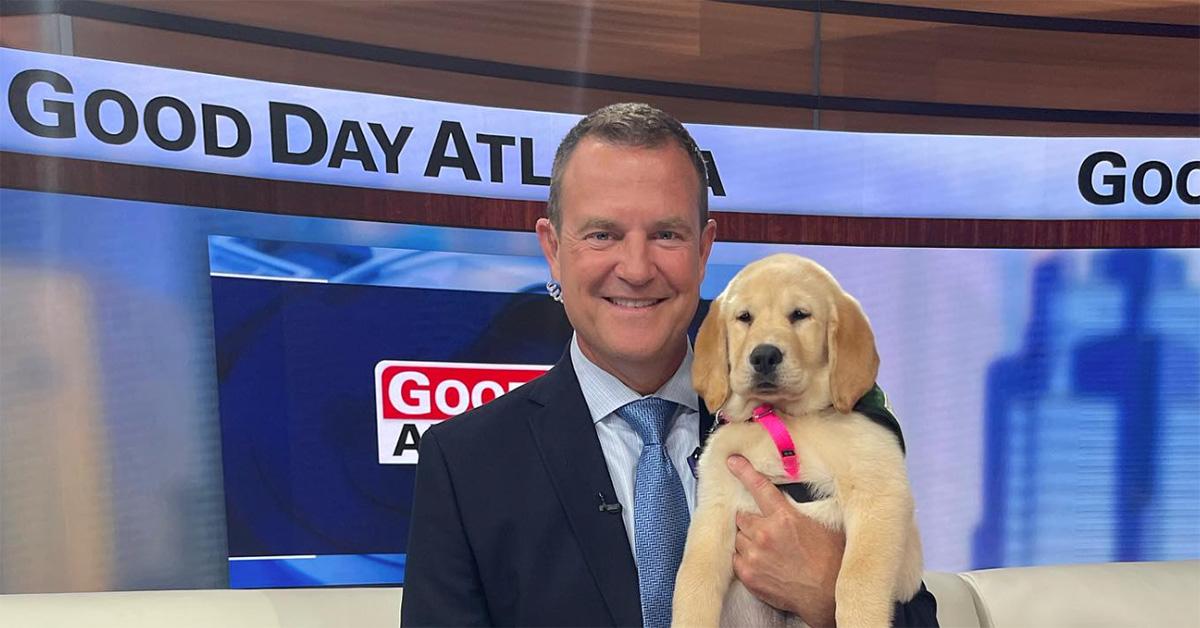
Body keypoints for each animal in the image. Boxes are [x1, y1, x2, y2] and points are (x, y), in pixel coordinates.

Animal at [676, 253, 916, 624]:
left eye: (800, 315)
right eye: (744, 317)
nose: (764, 356)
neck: (785, 416)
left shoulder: (879, 495)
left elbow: (856, 579)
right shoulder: (714, 510)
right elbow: (692, 585)